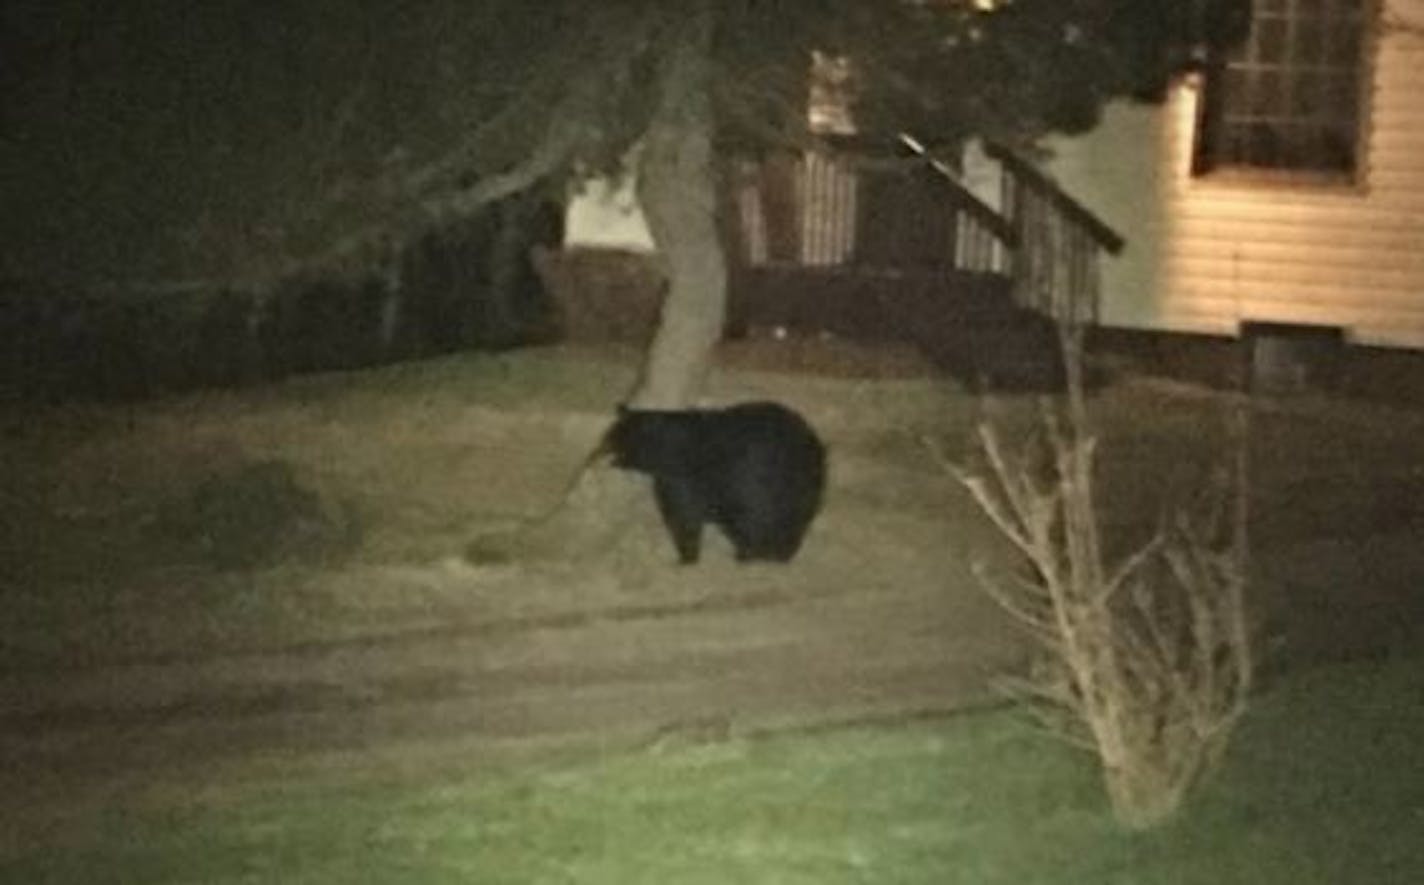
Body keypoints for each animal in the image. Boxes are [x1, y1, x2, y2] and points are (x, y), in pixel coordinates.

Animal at [600, 401, 825, 567]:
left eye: (612, 437)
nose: (599, 450)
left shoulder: (680, 487)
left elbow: (685, 526)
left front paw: (685, 560)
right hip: (804, 499)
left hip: (751, 506)